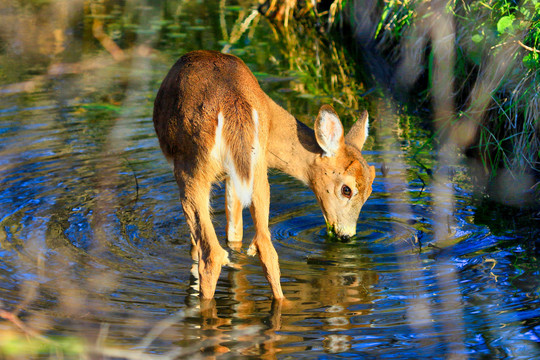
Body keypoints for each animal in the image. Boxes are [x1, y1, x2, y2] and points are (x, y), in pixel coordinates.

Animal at [153, 49, 376, 300]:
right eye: (347, 189)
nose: (346, 235)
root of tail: (232, 105)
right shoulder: (236, 176)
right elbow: (235, 232)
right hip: (257, 171)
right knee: (265, 247)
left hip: (191, 168)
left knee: (211, 254)